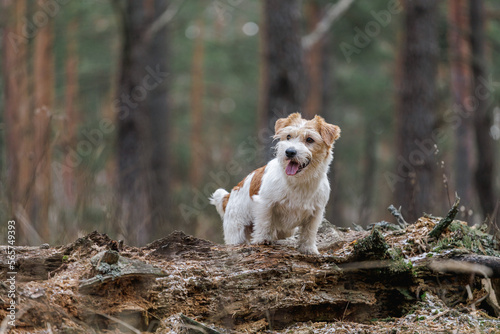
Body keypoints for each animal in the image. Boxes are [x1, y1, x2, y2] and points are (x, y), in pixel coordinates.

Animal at [209, 113, 342, 254]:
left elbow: (309, 231)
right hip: (236, 230)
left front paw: (308, 248)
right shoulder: (265, 204)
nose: (289, 152)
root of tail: (229, 195)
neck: (298, 181)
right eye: (288, 136)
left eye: (310, 139)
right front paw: (262, 239)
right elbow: (264, 222)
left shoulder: (316, 212)